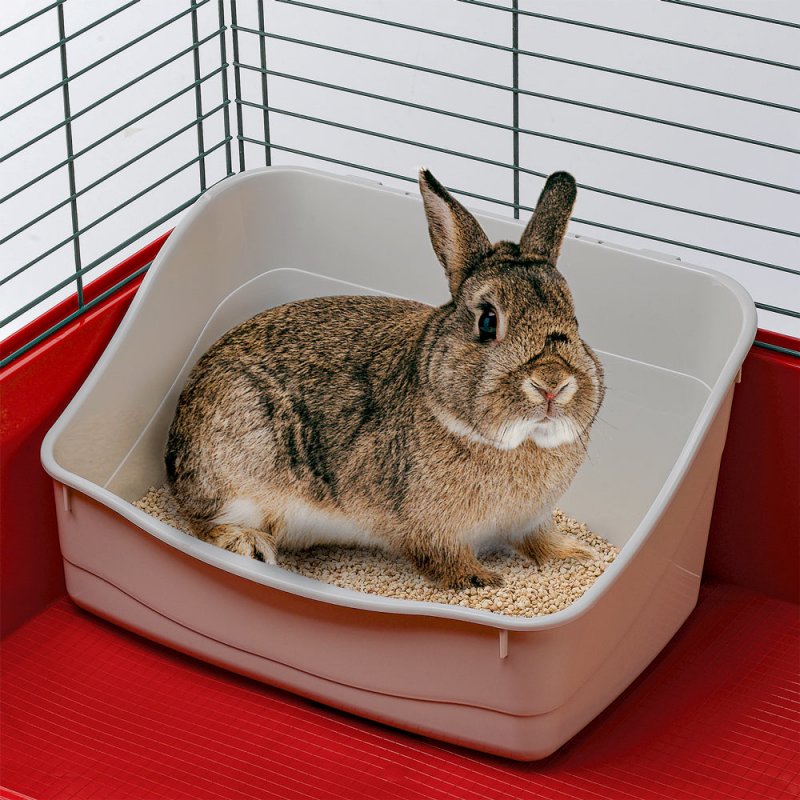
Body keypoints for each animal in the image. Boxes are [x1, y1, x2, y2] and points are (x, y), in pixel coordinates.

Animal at [165, 169, 605, 589]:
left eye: (574, 318)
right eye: (487, 321)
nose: (552, 383)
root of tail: (173, 449)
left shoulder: (530, 520)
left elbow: (540, 541)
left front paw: (576, 555)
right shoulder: (432, 532)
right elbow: (443, 559)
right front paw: (479, 580)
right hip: (239, 469)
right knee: (201, 521)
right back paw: (249, 545)